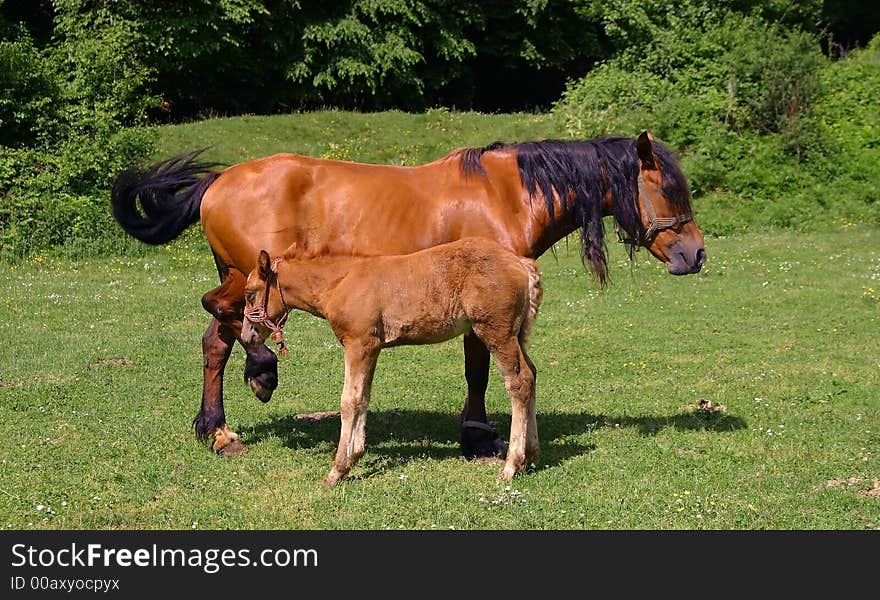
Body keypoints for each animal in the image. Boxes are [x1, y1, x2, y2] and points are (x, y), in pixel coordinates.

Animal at [111, 131, 708, 458]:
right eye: (668, 188)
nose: (696, 254)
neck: (506, 195)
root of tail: (215, 183)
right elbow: (478, 371)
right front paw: (478, 436)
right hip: (248, 276)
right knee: (224, 317)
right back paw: (259, 374)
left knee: (216, 337)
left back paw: (216, 428)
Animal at [242, 237, 544, 486]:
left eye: (249, 293)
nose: (247, 335)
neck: (340, 281)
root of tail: (521, 263)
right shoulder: (372, 348)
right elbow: (363, 397)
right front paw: (356, 455)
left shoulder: (358, 345)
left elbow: (349, 400)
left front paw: (338, 469)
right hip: (516, 334)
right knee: (531, 374)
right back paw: (531, 454)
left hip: (497, 333)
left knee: (519, 382)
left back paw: (512, 465)